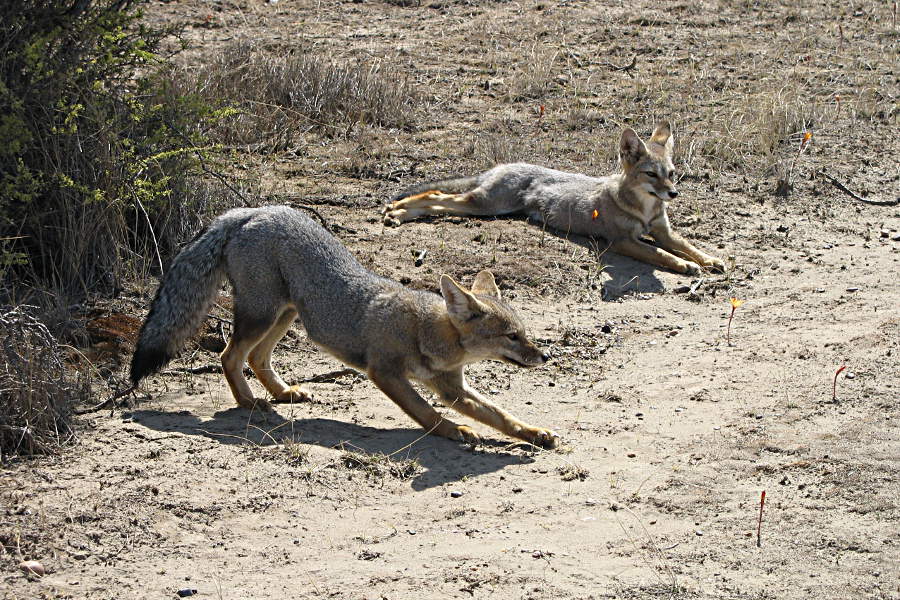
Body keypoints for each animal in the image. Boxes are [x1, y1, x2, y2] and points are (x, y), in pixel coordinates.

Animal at [130, 206, 560, 446]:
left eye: (525, 333)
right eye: (512, 336)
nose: (545, 356)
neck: (426, 331)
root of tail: (251, 211)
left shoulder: (452, 388)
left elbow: (499, 415)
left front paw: (532, 433)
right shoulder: (385, 373)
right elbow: (425, 412)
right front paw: (454, 431)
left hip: (286, 314)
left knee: (254, 357)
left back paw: (282, 393)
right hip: (263, 314)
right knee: (228, 355)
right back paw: (249, 402)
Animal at [384, 122, 728, 276]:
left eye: (671, 173)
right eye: (651, 175)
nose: (673, 194)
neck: (644, 210)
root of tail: (502, 166)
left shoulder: (662, 231)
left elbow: (687, 245)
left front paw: (708, 259)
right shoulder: (622, 242)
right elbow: (661, 255)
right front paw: (685, 265)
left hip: (481, 205)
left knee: (435, 197)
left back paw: (397, 212)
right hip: (483, 206)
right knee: (435, 196)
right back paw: (397, 212)